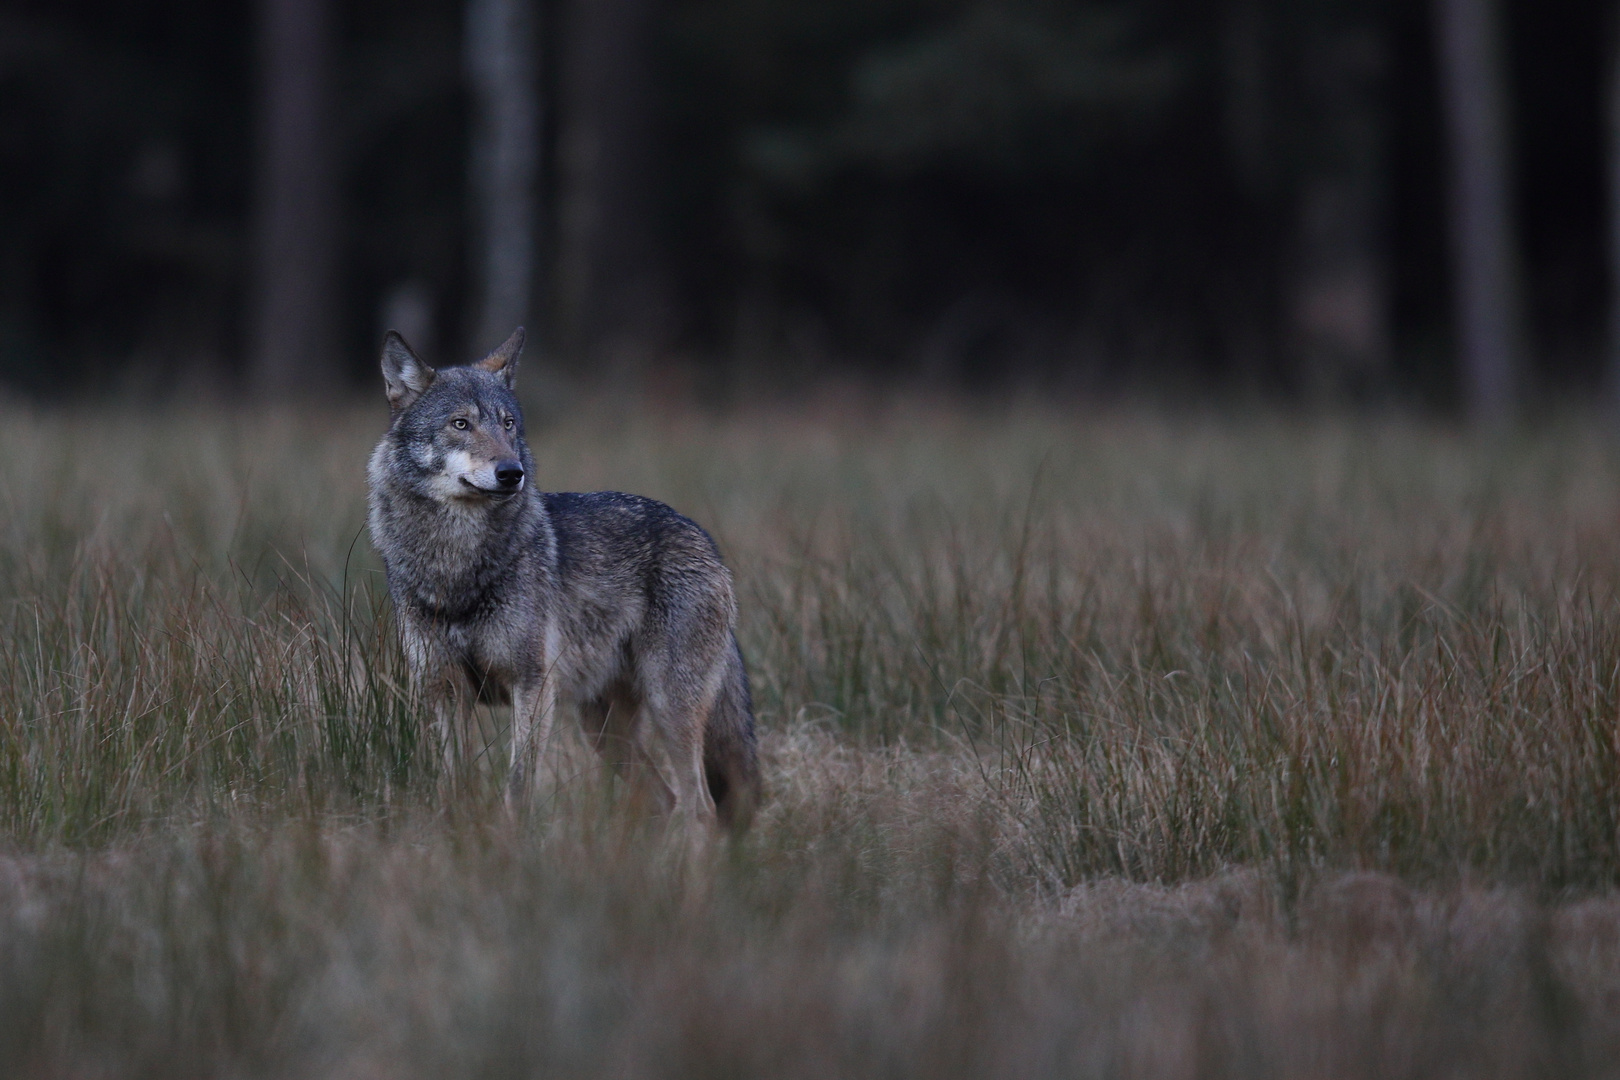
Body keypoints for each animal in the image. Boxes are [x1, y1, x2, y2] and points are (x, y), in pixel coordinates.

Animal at [367, 325, 758, 835]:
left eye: (508, 425)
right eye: (461, 424)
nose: (511, 473)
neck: (455, 566)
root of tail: (705, 540)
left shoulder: (532, 686)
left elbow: (517, 788)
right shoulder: (443, 691)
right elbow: (451, 786)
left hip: (668, 708)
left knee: (700, 808)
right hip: (605, 730)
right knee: (666, 799)